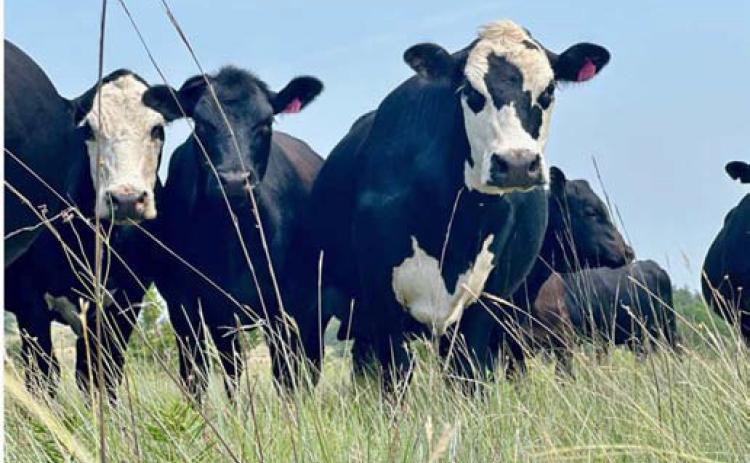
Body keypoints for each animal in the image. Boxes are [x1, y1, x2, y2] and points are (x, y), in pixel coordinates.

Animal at [5, 47, 173, 396]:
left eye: (158, 129)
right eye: (88, 131)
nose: (126, 199)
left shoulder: (123, 305)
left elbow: (100, 377)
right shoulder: (31, 305)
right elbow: (43, 378)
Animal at [141, 66, 324, 399]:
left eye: (265, 123)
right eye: (202, 124)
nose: (235, 181)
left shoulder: (284, 305)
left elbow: (285, 375)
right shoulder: (188, 307)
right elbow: (201, 375)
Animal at [292, 20, 611, 392]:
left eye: (547, 92)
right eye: (472, 93)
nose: (517, 163)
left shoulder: (483, 307)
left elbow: (467, 378)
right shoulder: (382, 304)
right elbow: (394, 380)